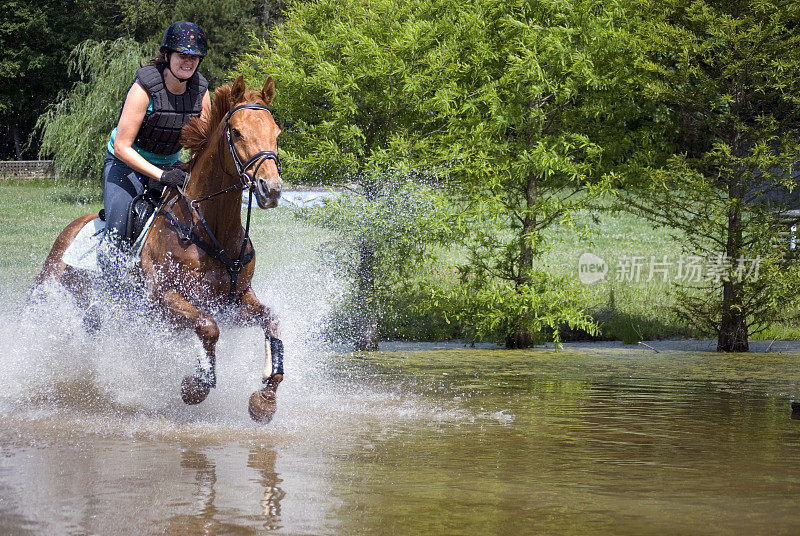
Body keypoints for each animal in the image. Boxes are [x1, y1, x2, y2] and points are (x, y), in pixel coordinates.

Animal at [37, 77, 288, 426]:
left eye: (276, 132)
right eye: (237, 132)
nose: (271, 189)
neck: (207, 228)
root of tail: (71, 228)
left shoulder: (235, 301)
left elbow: (272, 321)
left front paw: (264, 399)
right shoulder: (163, 301)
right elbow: (208, 326)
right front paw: (196, 386)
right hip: (51, 290)